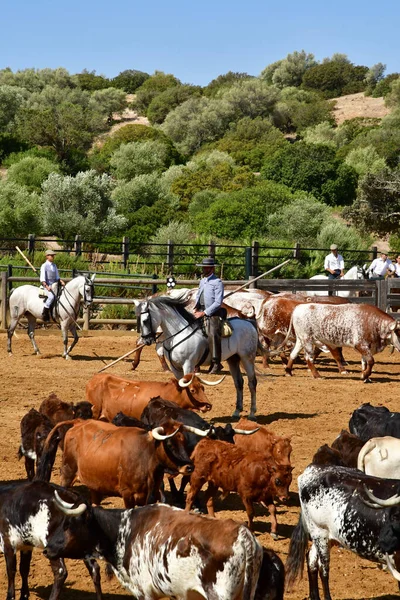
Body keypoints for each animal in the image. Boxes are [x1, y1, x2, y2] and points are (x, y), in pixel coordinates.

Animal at [39, 418, 193, 506]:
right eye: (170, 444)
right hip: (67, 474)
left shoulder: (151, 495)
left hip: (95, 484)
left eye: (184, 441)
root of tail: (78, 423)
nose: (189, 467)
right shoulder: (128, 494)